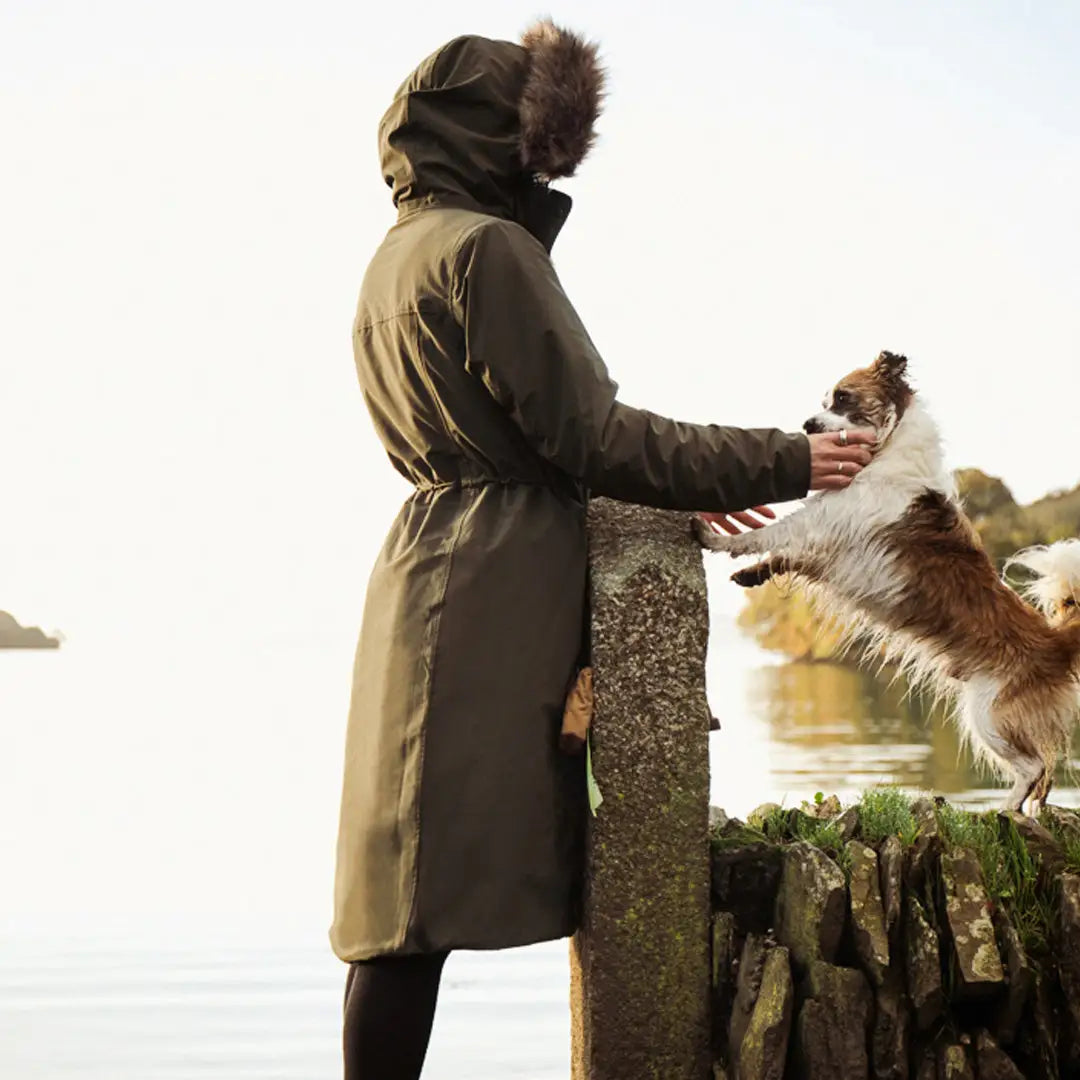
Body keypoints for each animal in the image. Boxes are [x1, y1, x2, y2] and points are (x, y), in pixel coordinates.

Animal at [695, 349, 1080, 812]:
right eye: (824, 401)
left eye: (843, 398)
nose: (807, 426)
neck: (888, 447)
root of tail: (1056, 643)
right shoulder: (826, 547)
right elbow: (785, 555)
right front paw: (752, 572)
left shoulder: (826, 520)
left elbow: (773, 532)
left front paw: (717, 537)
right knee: (1039, 773)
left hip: (988, 714)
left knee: (1034, 767)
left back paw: (1004, 810)